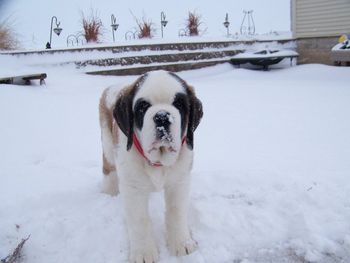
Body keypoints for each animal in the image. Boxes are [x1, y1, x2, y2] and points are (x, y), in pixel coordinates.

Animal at [98, 70, 202, 263]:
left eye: (178, 104)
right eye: (143, 106)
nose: (162, 116)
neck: (158, 161)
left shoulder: (180, 181)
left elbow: (176, 211)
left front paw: (181, 243)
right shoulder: (132, 188)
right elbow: (140, 219)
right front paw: (143, 253)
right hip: (108, 143)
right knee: (108, 169)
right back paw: (109, 194)